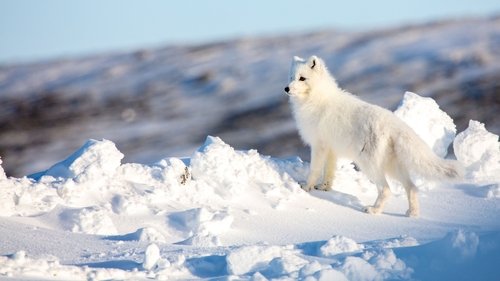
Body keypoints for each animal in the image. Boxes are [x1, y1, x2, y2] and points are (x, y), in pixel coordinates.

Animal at [284, 55, 462, 217]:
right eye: (291, 77)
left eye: (302, 78)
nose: (286, 89)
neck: (316, 99)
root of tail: (393, 123)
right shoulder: (331, 149)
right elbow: (329, 172)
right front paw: (324, 187)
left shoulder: (319, 145)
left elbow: (314, 169)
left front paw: (306, 187)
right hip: (392, 166)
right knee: (412, 187)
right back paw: (412, 213)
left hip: (368, 164)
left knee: (386, 189)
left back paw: (374, 210)